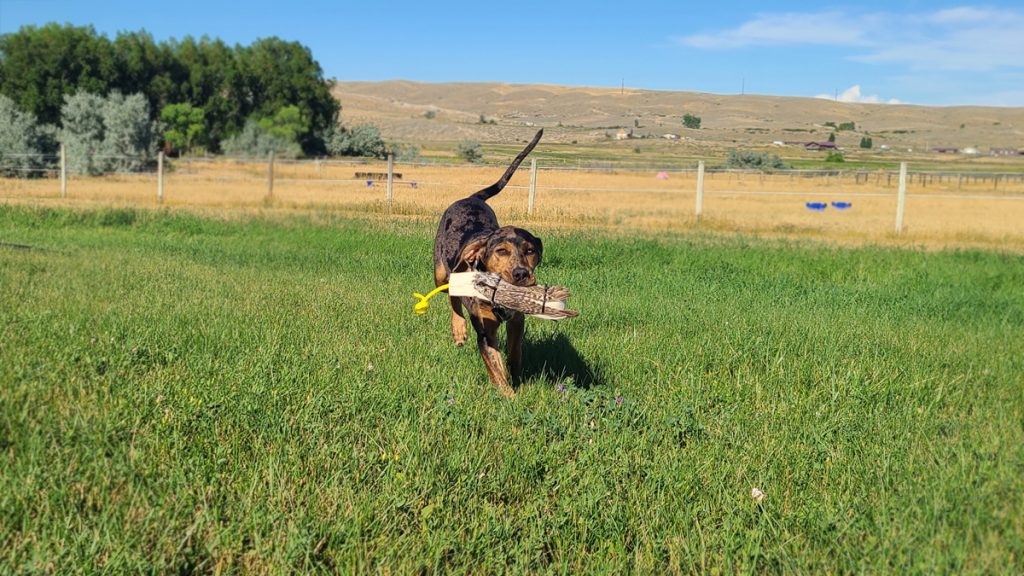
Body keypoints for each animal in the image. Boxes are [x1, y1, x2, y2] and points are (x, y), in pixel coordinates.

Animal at [432, 128, 544, 397]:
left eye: (530, 251)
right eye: (501, 251)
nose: (521, 274)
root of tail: (471, 198)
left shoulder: (517, 320)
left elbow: (514, 353)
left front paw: (517, 378)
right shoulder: (485, 330)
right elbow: (494, 364)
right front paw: (508, 396)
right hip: (440, 272)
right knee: (451, 294)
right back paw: (459, 329)